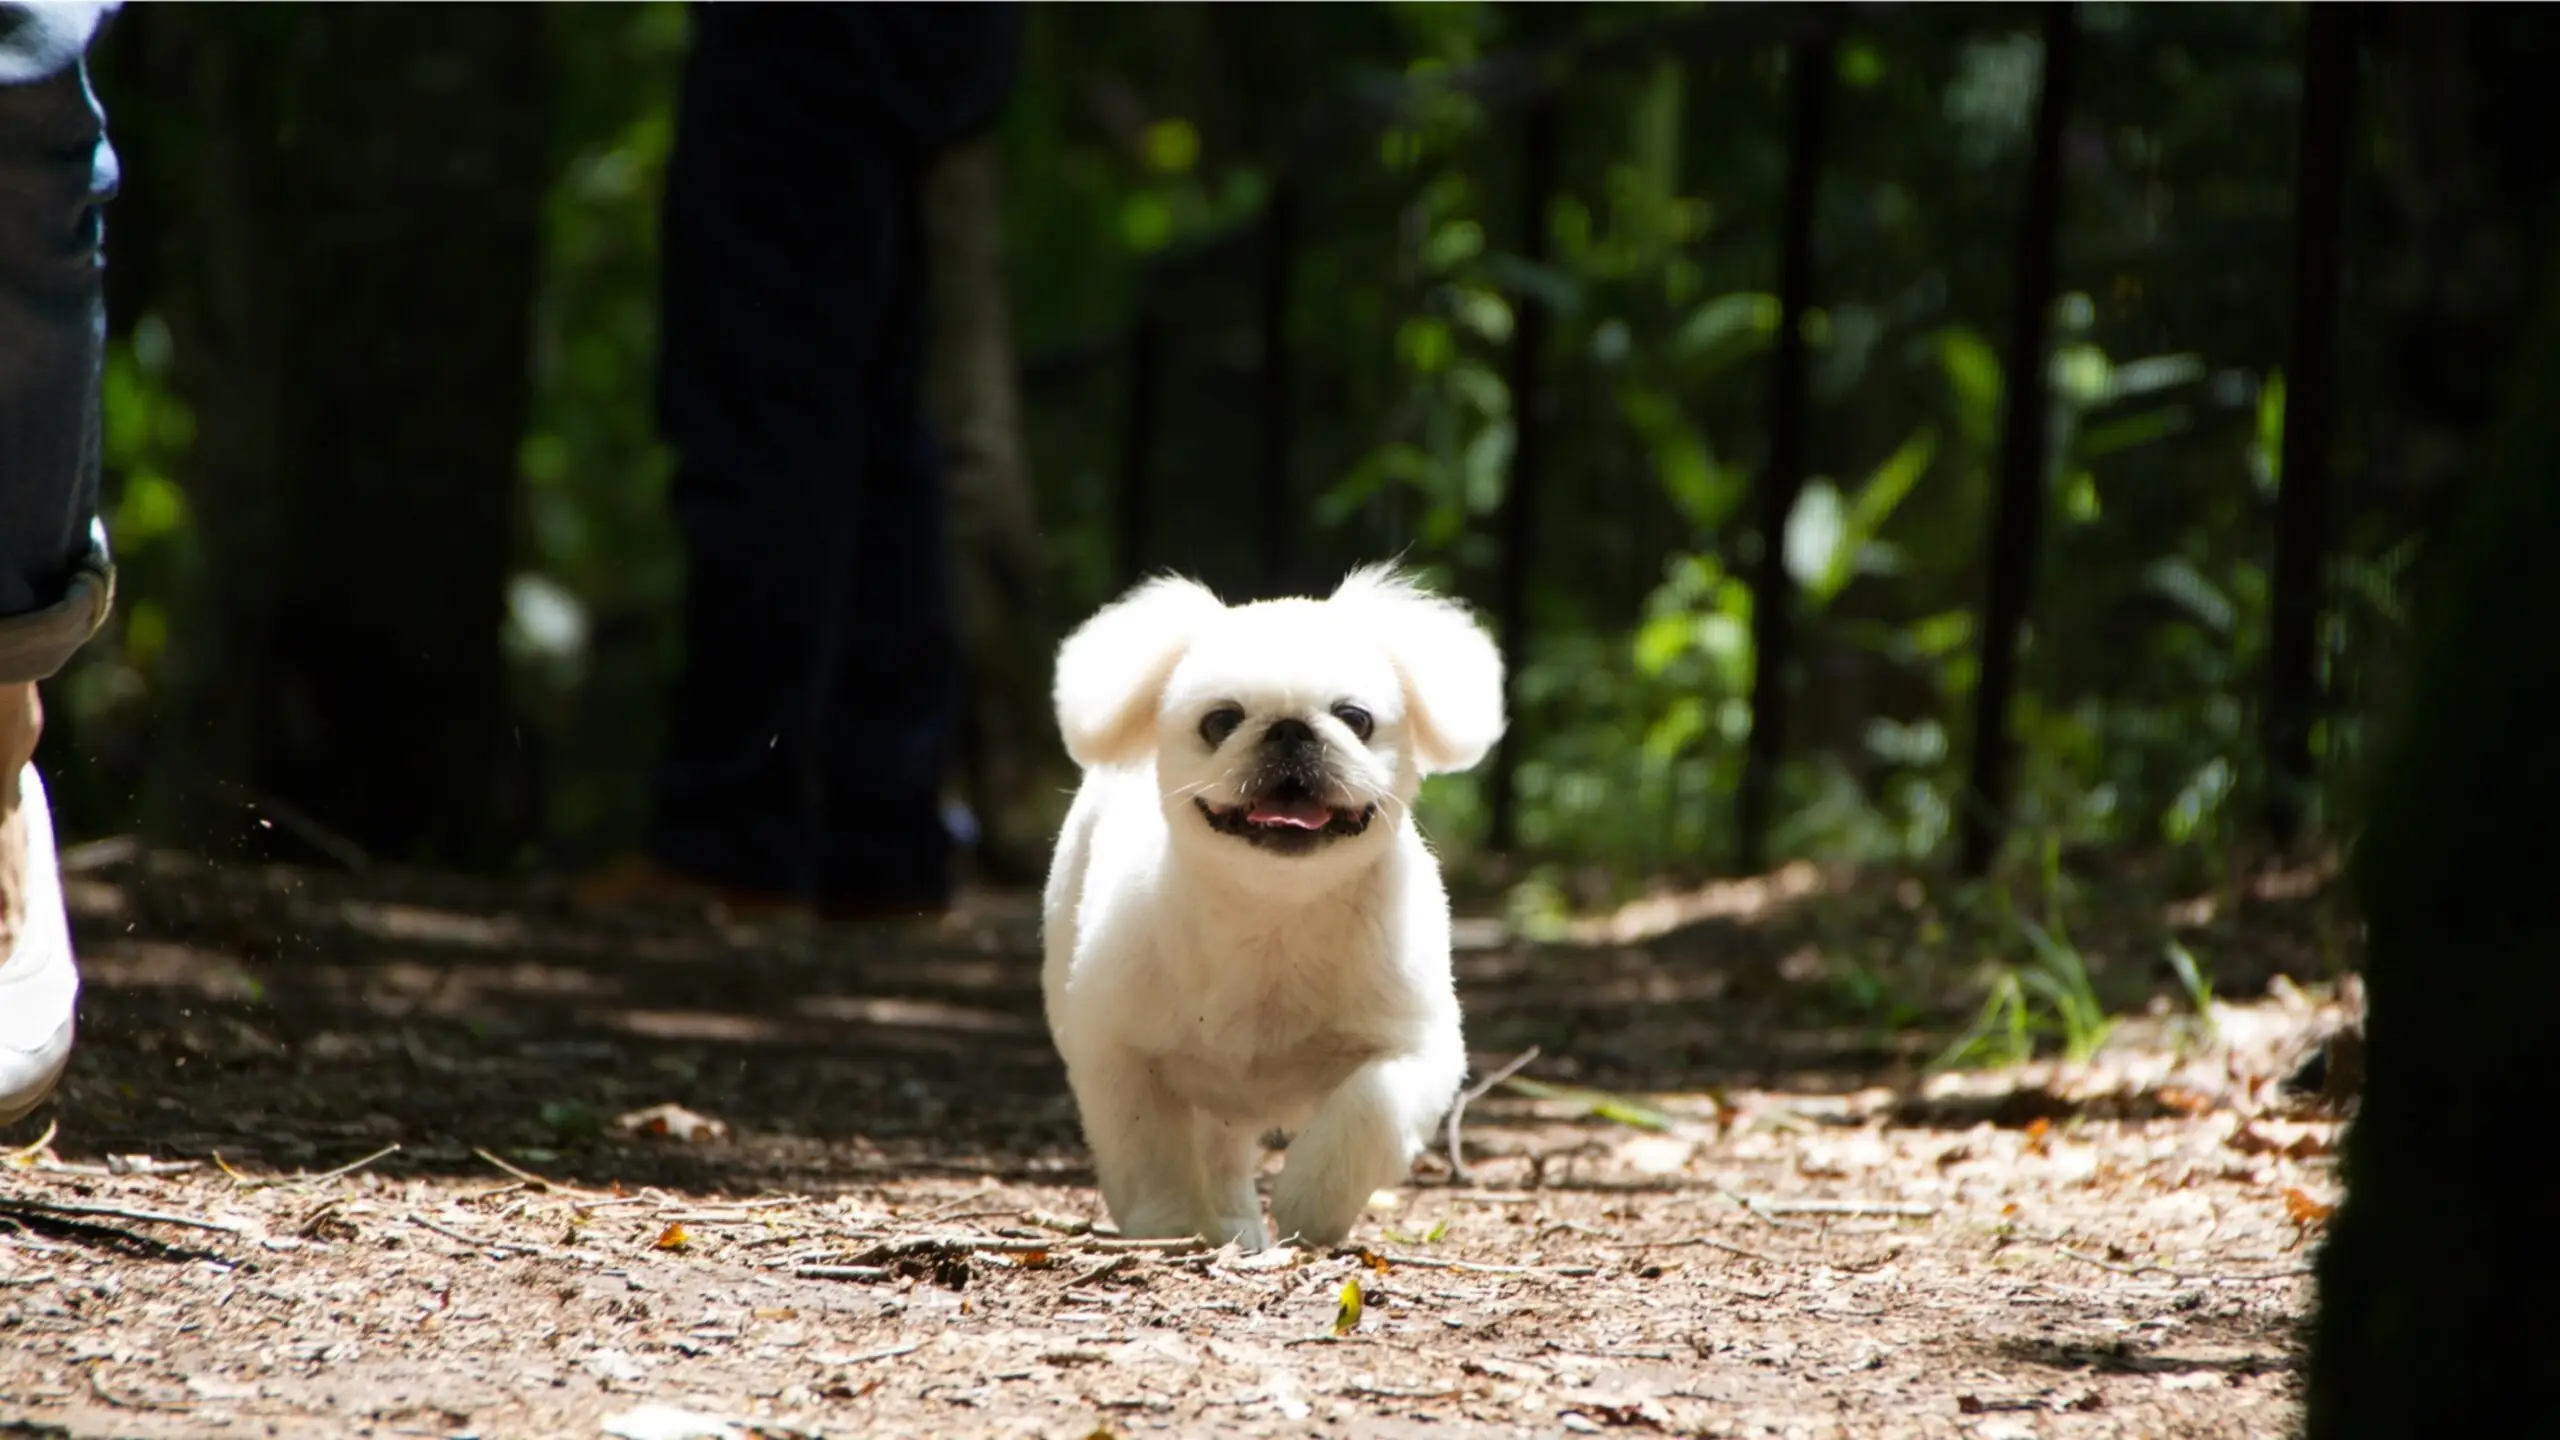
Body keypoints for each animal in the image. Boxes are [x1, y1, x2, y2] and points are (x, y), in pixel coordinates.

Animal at [1034, 561, 1495, 1245]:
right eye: (1221, 721)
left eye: (1355, 718)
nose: (1289, 729)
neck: (1274, 919)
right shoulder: (1119, 1055)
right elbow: (1149, 1153)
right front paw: (1169, 1227)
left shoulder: (1415, 1049)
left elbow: (1366, 1115)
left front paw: (1309, 1205)